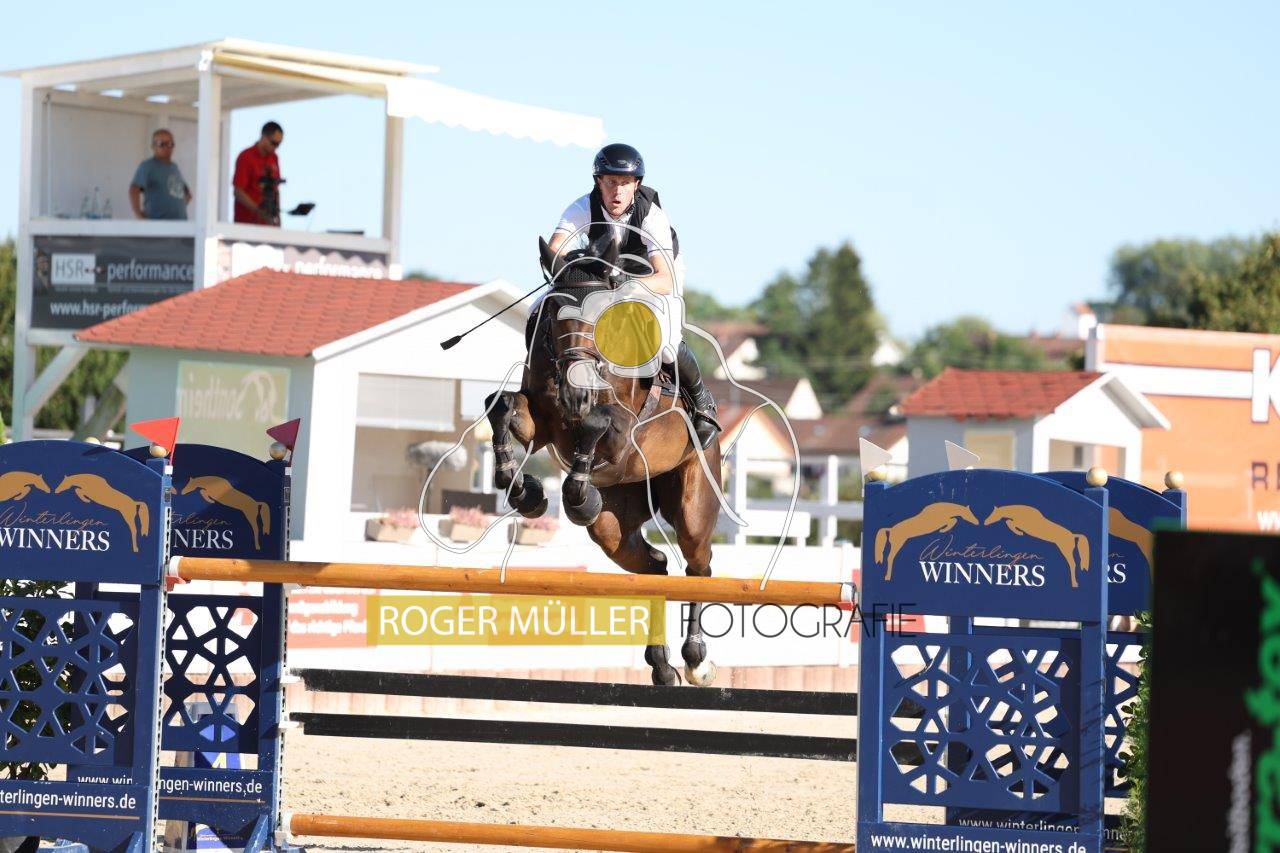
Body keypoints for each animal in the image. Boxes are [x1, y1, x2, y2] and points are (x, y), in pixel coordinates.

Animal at [484, 232, 723, 686]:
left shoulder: (625, 432)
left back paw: (697, 660)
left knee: (698, 568)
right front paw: (524, 491)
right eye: (554, 313)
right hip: (614, 529)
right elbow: (503, 405)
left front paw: (576, 496)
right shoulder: (543, 424)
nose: (576, 394)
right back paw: (662, 665)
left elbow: (596, 424)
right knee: (655, 568)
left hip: (693, 505)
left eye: (601, 314)